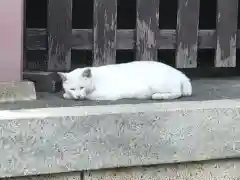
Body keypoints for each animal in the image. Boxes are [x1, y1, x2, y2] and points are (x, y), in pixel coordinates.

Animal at [57, 60, 192, 100]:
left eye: (82, 87)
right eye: (72, 89)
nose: (78, 96)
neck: (95, 79)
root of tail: (180, 73)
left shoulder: (107, 94)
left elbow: (89, 96)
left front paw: (67, 95)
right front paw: (68, 95)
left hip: (158, 84)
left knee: (177, 93)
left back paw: (158, 96)